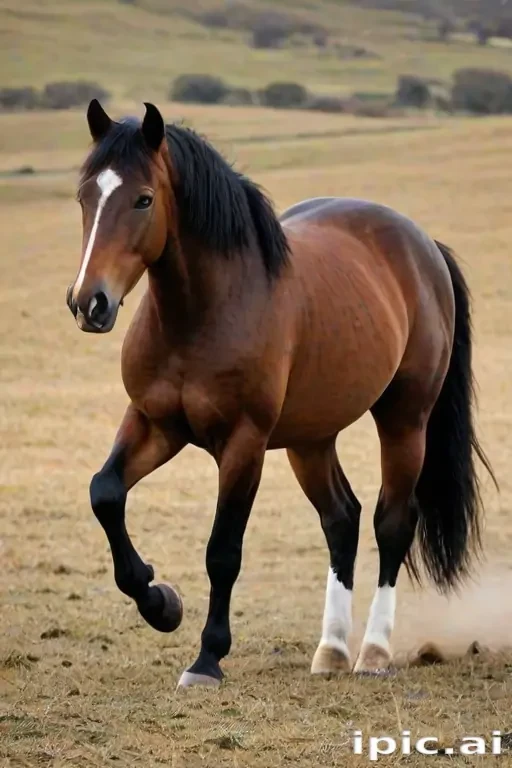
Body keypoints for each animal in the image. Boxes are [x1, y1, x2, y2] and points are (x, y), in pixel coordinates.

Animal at [66, 99, 496, 688]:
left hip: (405, 421)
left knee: (391, 522)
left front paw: (207, 658)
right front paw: (161, 602)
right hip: (310, 439)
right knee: (342, 520)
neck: (201, 313)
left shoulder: (243, 444)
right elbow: (104, 493)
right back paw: (330, 651)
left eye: (143, 199)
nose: (90, 303)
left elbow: (223, 550)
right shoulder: (153, 424)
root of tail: (422, 245)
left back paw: (373, 653)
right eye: (85, 195)